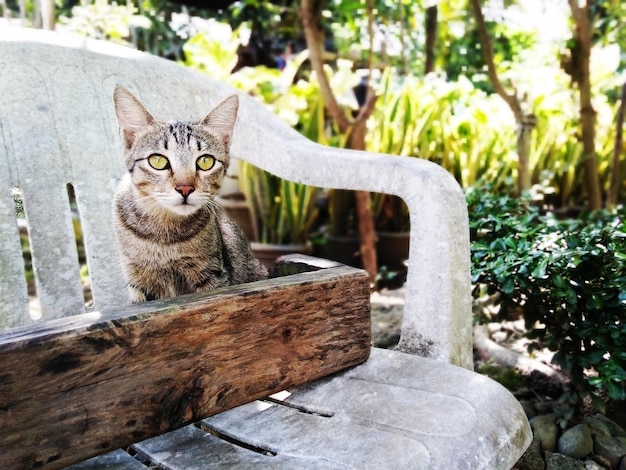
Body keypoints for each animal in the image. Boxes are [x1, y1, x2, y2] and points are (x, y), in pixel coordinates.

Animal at [111, 86, 266, 302]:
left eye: (205, 161)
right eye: (157, 161)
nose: (185, 188)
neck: (164, 237)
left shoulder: (212, 275)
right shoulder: (138, 280)